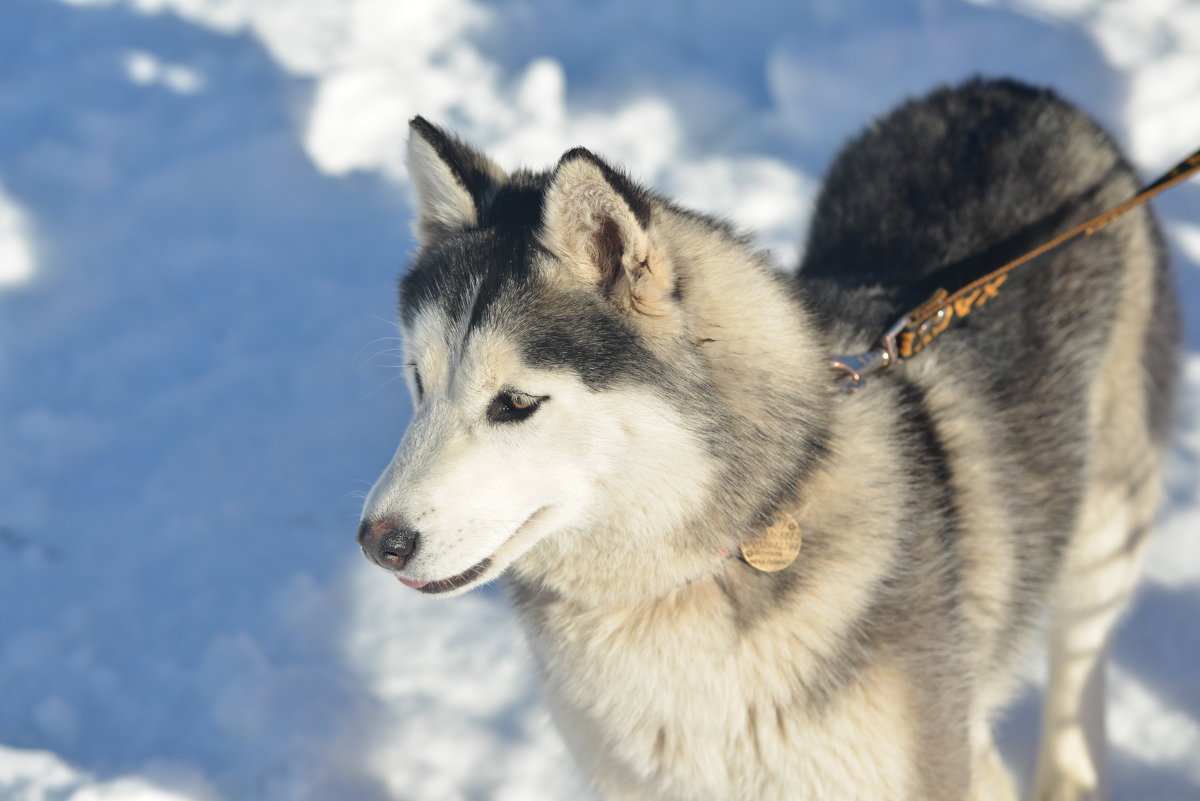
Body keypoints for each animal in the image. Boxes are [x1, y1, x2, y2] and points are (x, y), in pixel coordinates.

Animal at [357, 79, 1180, 801]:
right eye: (419, 382)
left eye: (517, 402)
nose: (377, 542)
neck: (705, 563)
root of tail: (1006, 90)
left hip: (1105, 532)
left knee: (1080, 663)